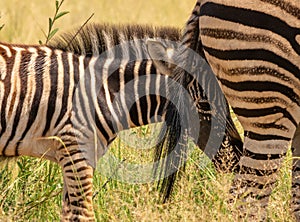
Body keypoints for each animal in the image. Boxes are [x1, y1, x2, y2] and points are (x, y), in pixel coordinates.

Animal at [0, 23, 244, 221]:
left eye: (227, 102)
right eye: (203, 104)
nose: (237, 159)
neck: (104, 92)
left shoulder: (75, 156)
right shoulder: (75, 151)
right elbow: (84, 215)